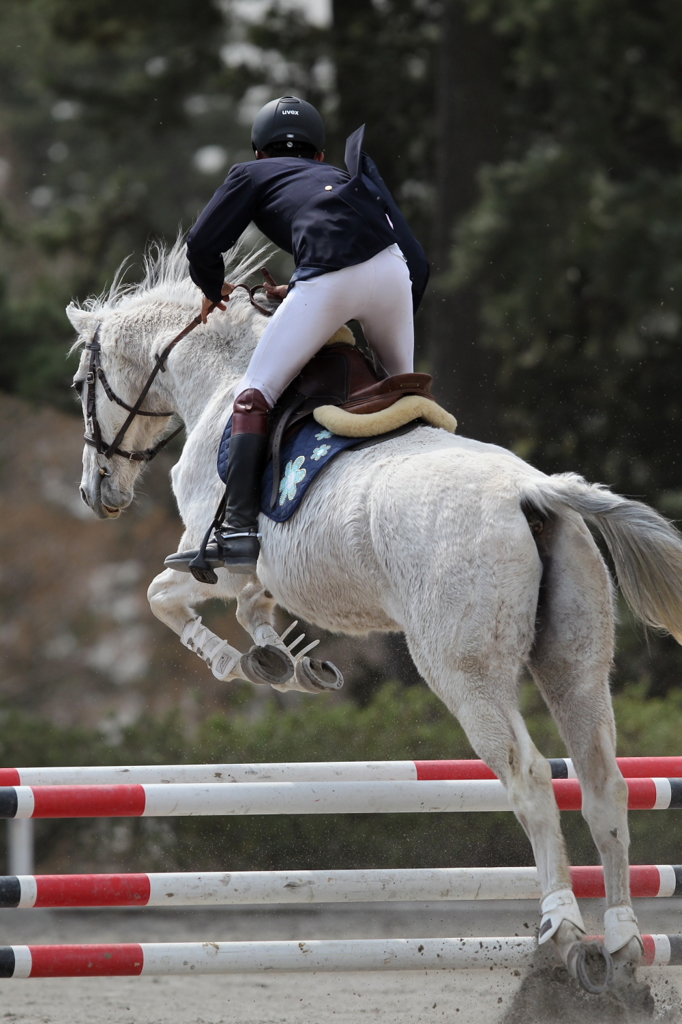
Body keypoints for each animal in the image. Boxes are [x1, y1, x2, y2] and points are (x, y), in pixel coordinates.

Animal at [69, 241, 682, 991]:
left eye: (81, 382)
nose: (96, 492)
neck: (222, 375)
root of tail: (532, 492)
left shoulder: (215, 556)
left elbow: (166, 596)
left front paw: (241, 661)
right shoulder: (263, 575)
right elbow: (253, 611)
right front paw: (282, 660)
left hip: (465, 674)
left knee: (532, 778)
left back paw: (564, 931)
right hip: (576, 666)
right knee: (602, 784)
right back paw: (621, 941)